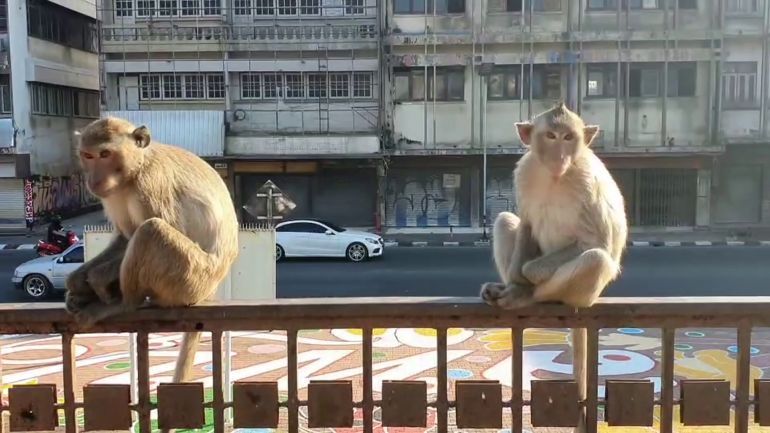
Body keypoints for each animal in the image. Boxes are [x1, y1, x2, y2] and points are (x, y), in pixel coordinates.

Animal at [64, 117, 240, 388]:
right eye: (88, 155)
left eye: (105, 154)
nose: (94, 180)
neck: (134, 172)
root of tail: (209, 290)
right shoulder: (113, 195)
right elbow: (125, 237)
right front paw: (77, 281)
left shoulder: (151, 186)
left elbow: (160, 227)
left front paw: (95, 279)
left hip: (189, 277)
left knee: (151, 231)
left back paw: (123, 303)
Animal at [480, 102, 628, 433]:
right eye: (551, 136)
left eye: (568, 137)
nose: (560, 156)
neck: (554, 176)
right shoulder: (525, 172)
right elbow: (526, 223)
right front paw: (514, 282)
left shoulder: (587, 181)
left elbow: (596, 241)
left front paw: (524, 282)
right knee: (504, 220)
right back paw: (507, 289)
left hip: (583, 294)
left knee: (596, 258)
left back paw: (529, 296)